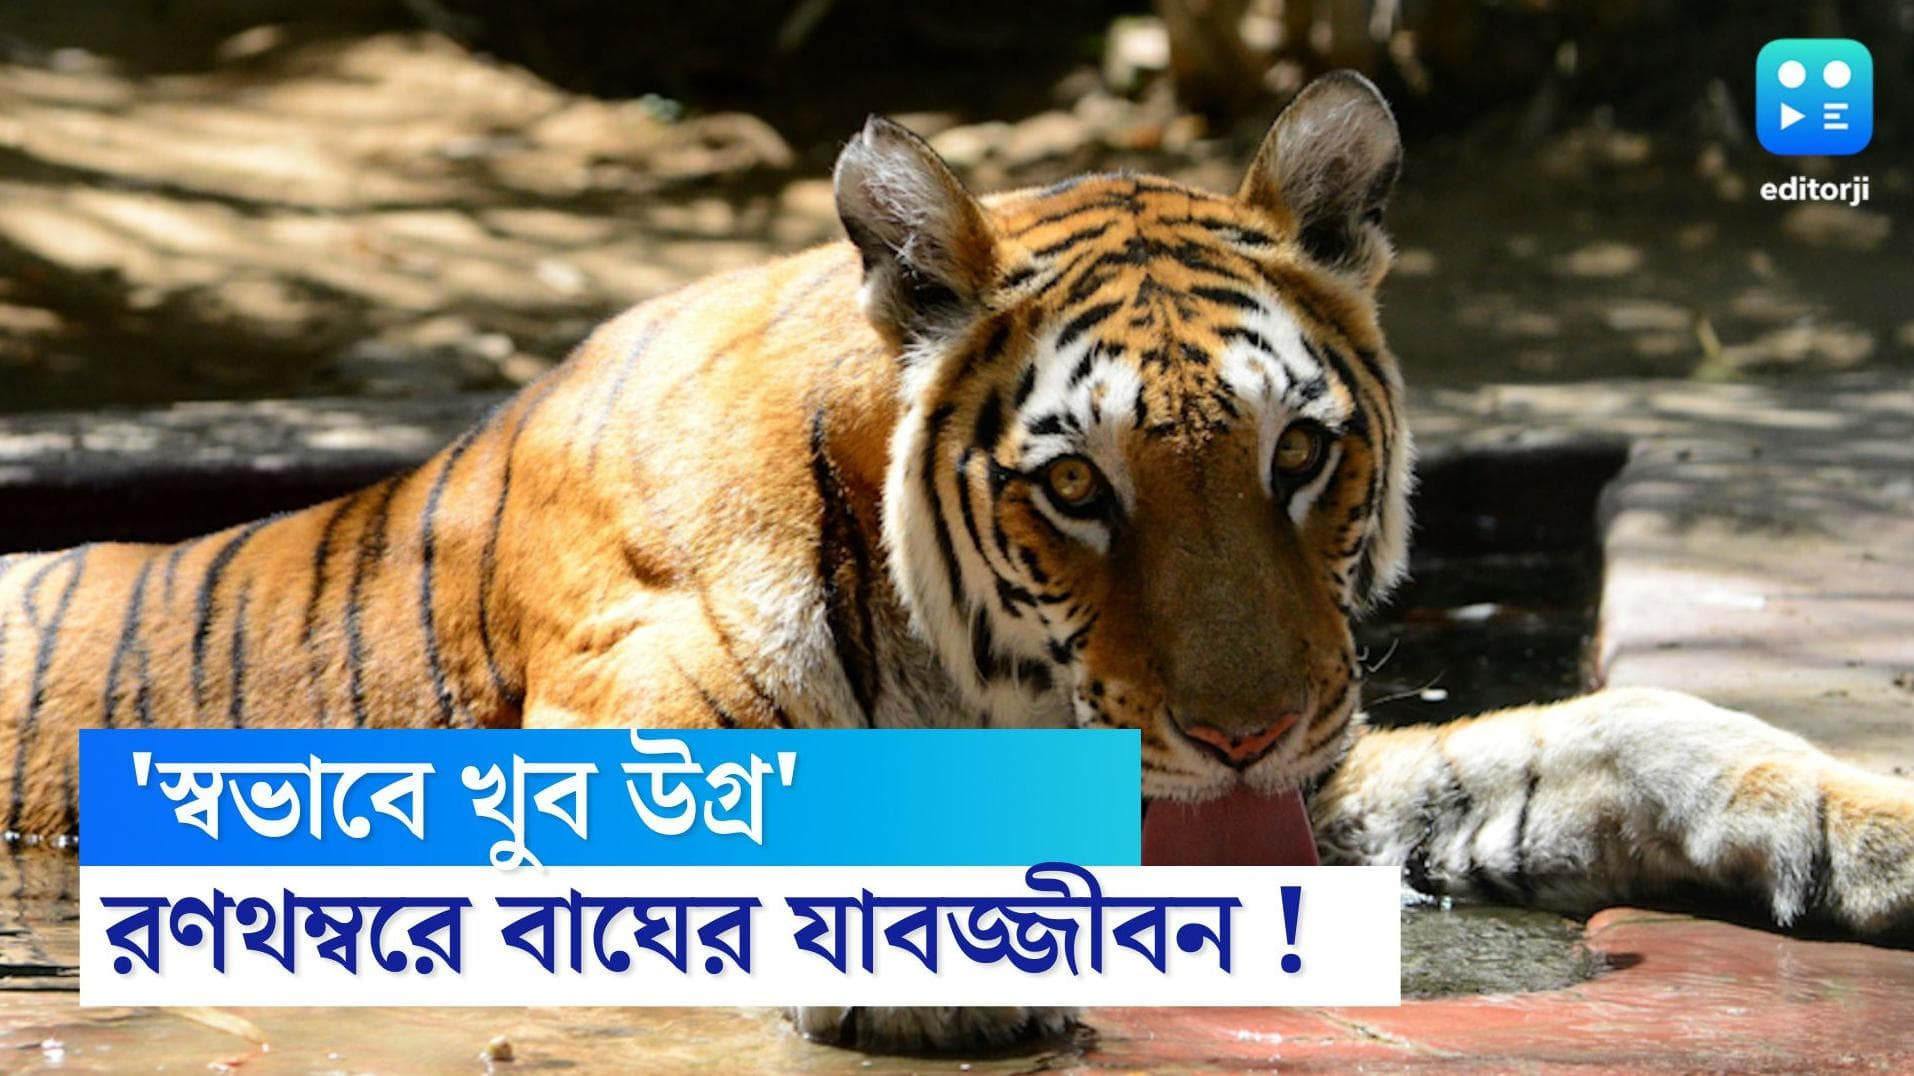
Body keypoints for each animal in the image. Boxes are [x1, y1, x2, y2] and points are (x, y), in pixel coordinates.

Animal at [2, 71, 1912, 1054]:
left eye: (1299, 454)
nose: (1238, 732)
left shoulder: (1289, 772)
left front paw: (1867, 829)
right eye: (1074, 488)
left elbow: (1626, 730)